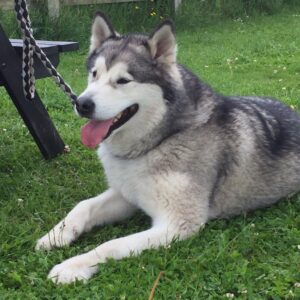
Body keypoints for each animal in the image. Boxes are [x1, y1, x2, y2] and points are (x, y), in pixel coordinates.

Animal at [35, 11, 300, 284]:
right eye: (94, 74)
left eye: (123, 80)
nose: (82, 104)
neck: (159, 141)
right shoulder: (127, 194)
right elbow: (84, 205)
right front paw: (57, 234)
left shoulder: (177, 224)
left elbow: (111, 245)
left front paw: (73, 266)